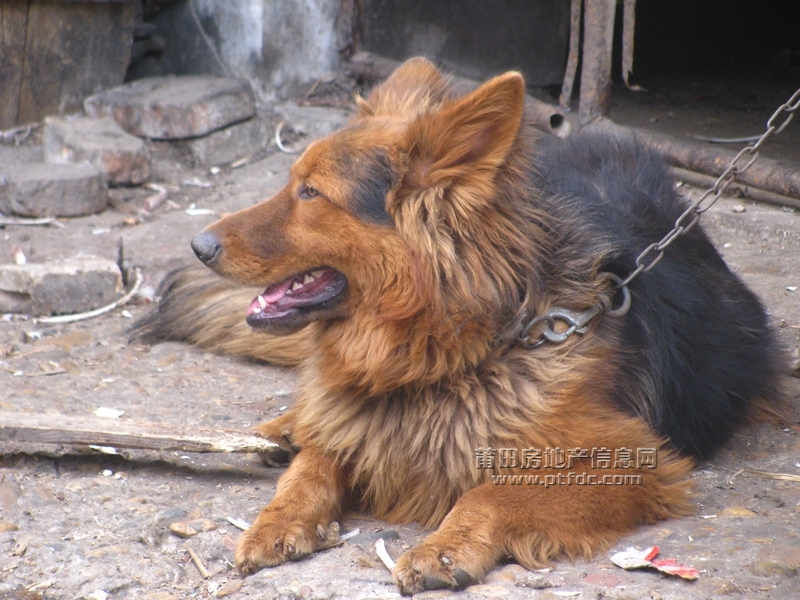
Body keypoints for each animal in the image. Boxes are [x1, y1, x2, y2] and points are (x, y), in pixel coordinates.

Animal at [134, 58, 784, 592]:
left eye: (312, 193)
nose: (197, 246)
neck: (445, 352)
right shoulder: (355, 426)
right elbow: (312, 467)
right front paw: (279, 517)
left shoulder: (633, 461)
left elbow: (491, 489)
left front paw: (444, 546)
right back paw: (287, 425)